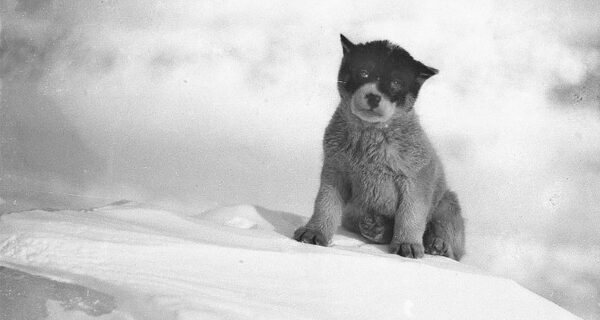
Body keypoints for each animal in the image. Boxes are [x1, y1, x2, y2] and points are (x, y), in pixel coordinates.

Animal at [292, 34, 466, 260]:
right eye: (363, 72)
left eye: (396, 83)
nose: (374, 97)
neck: (370, 136)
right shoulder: (334, 171)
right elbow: (325, 205)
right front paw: (314, 232)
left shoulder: (415, 180)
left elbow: (410, 215)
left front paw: (407, 245)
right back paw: (377, 228)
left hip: (447, 203)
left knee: (450, 243)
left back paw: (437, 244)